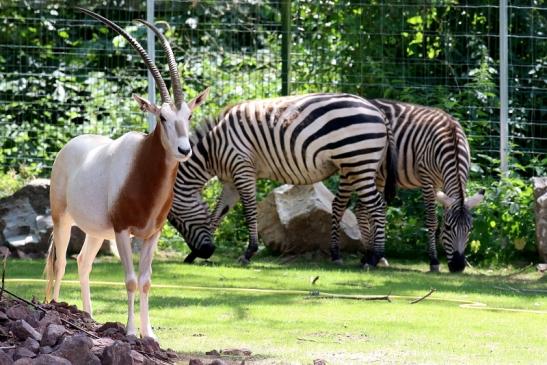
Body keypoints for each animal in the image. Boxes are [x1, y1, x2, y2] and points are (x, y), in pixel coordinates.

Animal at [169, 92, 396, 266]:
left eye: (174, 221)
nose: (207, 251)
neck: (212, 151)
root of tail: (376, 110)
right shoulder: (230, 181)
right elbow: (217, 214)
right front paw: (193, 255)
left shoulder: (242, 168)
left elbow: (249, 210)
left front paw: (248, 252)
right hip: (354, 166)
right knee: (356, 206)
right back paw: (353, 256)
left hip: (359, 161)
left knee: (376, 205)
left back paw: (375, 258)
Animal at [366, 98, 486, 272]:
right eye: (448, 228)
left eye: (470, 229)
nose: (458, 266)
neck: (452, 141)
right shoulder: (427, 180)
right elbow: (431, 220)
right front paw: (434, 261)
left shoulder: (443, 184)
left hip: (380, 175)